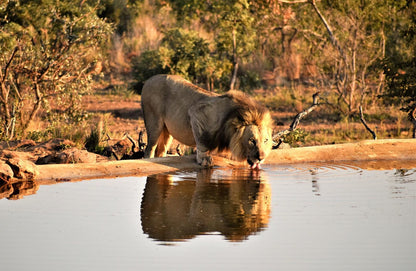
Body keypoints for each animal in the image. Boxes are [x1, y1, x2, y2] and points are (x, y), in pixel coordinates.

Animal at [141, 74, 274, 168]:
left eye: (266, 140)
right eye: (252, 140)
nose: (261, 158)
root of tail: (148, 80)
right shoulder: (196, 113)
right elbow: (202, 142)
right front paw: (205, 160)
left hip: (167, 132)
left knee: (161, 151)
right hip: (154, 123)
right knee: (149, 150)